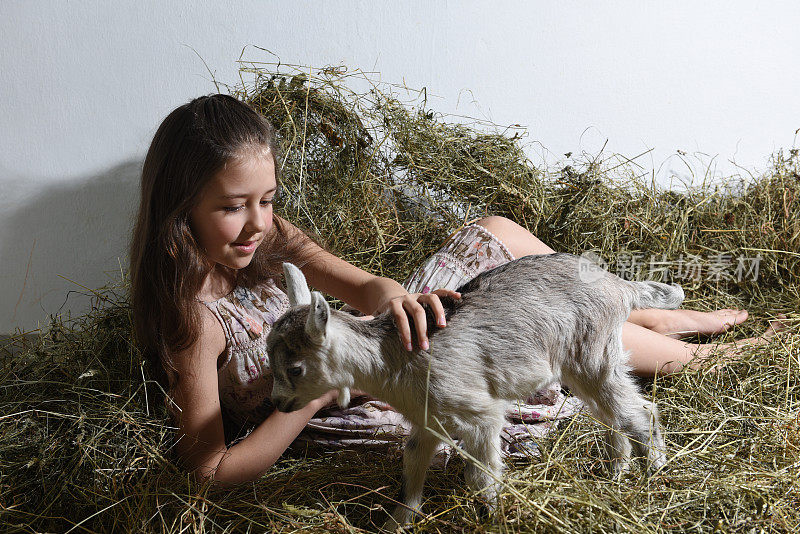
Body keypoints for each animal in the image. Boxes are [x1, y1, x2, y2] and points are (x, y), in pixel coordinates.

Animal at [268, 254, 680, 528]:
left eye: (295, 368)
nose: (277, 402)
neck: (393, 358)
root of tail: (621, 286)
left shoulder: (479, 414)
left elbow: (480, 478)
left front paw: (493, 516)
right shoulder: (426, 420)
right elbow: (412, 463)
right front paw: (399, 521)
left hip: (592, 355)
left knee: (640, 410)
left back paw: (654, 471)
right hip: (587, 363)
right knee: (613, 414)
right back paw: (617, 472)